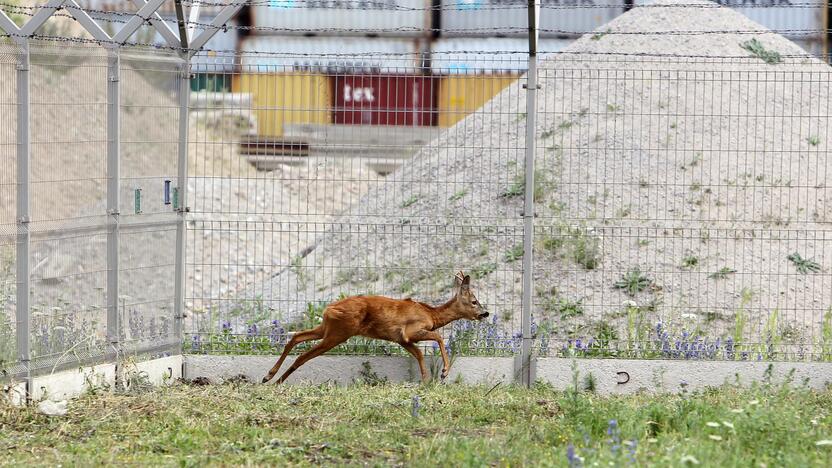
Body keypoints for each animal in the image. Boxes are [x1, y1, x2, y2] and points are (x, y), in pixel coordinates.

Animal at [262, 270, 488, 384]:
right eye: (474, 301)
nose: (485, 313)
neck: (431, 314)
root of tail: (330, 308)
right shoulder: (411, 331)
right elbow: (439, 337)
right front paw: (443, 373)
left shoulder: (401, 339)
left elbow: (418, 354)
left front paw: (425, 381)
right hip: (339, 332)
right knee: (303, 355)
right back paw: (275, 380)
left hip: (327, 328)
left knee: (296, 337)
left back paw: (270, 377)